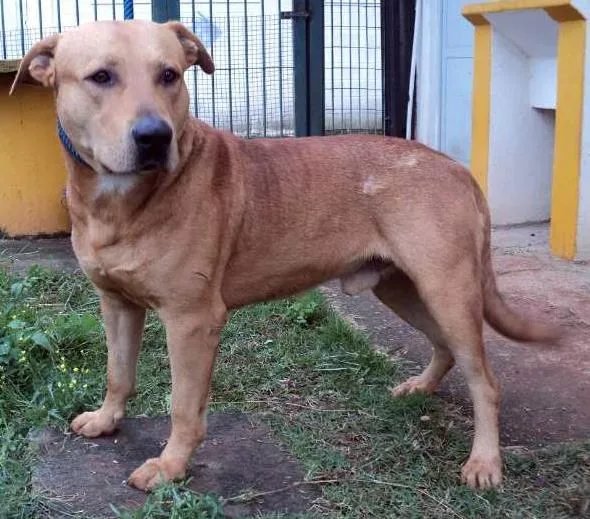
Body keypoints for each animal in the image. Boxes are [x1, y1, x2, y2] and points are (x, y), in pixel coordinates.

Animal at [11, 19, 559, 491]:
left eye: (169, 75)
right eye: (101, 77)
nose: (154, 137)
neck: (120, 203)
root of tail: (455, 167)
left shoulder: (192, 321)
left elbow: (184, 406)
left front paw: (171, 467)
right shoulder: (116, 303)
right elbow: (118, 372)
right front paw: (108, 420)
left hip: (449, 291)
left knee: (485, 380)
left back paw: (484, 462)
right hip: (403, 288)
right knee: (445, 346)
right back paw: (421, 387)